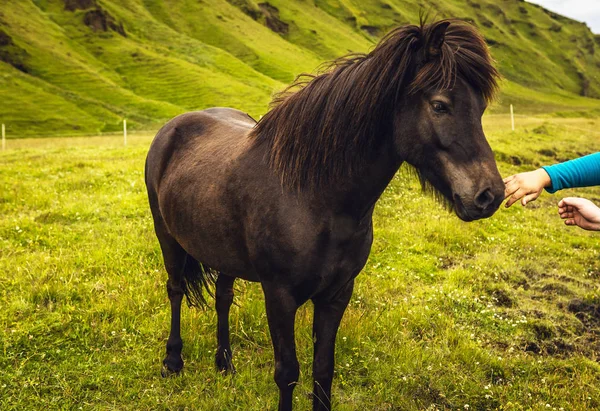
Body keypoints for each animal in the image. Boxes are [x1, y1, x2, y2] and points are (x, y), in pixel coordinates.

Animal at [146, 20, 506, 411]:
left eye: (481, 108)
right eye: (440, 105)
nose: (489, 195)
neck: (313, 198)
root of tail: (173, 126)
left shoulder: (337, 294)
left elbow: (323, 369)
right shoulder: (280, 296)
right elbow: (287, 373)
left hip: (223, 252)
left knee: (223, 298)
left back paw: (225, 363)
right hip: (167, 238)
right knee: (175, 290)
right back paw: (172, 361)